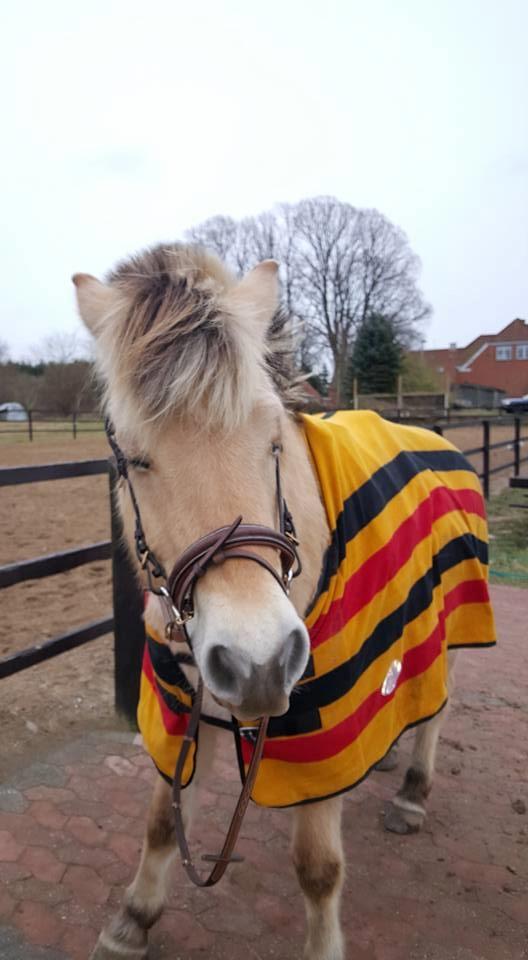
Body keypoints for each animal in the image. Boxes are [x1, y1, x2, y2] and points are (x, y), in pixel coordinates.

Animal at [73, 244, 496, 956]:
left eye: (273, 437)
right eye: (135, 459)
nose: (260, 661)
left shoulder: (320, 725)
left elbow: (318, 868)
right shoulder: (180, 706)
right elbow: (161, 820)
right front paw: (134, 918)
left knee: (436, 708)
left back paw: (412, 793)